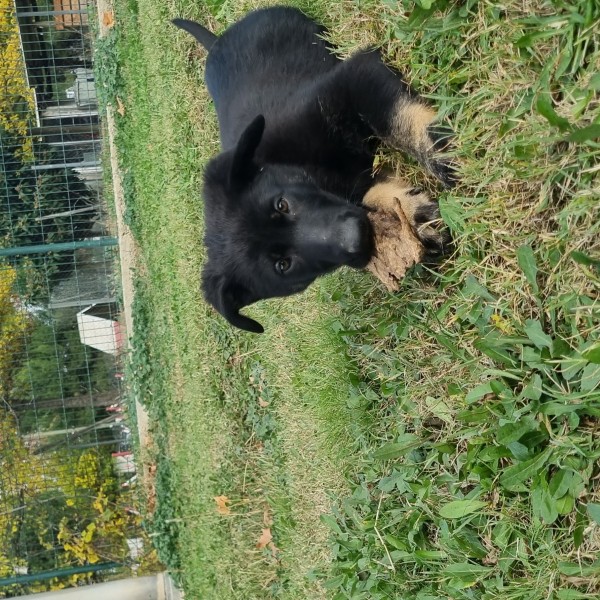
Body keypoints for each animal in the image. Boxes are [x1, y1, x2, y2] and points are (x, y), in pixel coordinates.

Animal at [171, 5, 452, 332]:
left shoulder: (353, 78)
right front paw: (413, 213)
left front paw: (454, 158)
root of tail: (215, 42)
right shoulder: (352, 187)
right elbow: (372, 194)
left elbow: (405, 123)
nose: (357, 238)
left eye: (281, 204)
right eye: (283, 266)